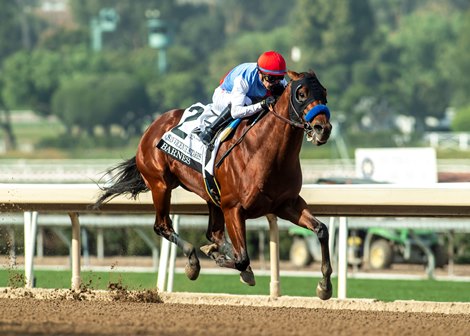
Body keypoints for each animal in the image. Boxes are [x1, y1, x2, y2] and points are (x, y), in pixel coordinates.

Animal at [93, 69, 332, 300]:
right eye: (301, 94)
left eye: (324, 92)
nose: (323, 128)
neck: (265, 153)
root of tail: (154, 125)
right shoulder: (234, 208)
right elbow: (242, 258)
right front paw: (217, 257)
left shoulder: (286, 204)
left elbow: (322, 230)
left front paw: (325, 286)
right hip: (160, 185)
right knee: (162, 226)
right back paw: (193, 261)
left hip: (211, 196)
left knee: (213, 233)